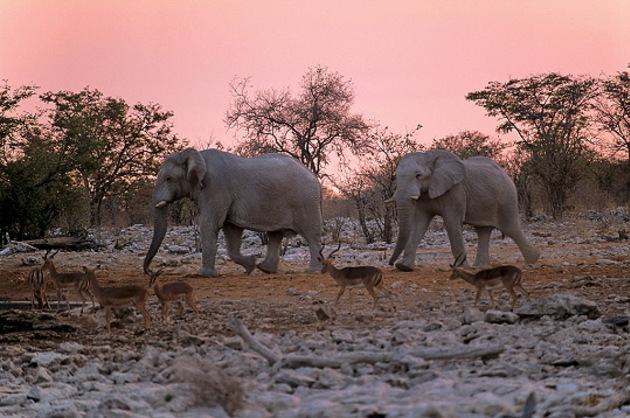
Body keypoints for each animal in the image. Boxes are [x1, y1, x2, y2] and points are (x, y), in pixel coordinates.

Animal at [145, 148, 324, 278]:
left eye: (168, 178)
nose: (150, 272)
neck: (197, 156)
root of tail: (314, 177)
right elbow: (231, 229)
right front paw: (250, 265)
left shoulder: (215, 187)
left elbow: (209, 223)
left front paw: (204, 275)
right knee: (275, 234)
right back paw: (266, 269)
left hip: (304, 201)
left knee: (310, 234)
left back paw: (314, 270)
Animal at [390, 150, 544, 272]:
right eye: (396, 176)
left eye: (418, 175)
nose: (391, 263)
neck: (430, 157)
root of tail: (506, 174)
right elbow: (419, 223)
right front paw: (403, 267)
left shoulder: (455, 191)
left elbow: (451, 222)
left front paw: (462, 268)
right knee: (483, 230)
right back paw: (480, 266)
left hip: (507, 197)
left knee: (510, 227)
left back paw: (533, 260)